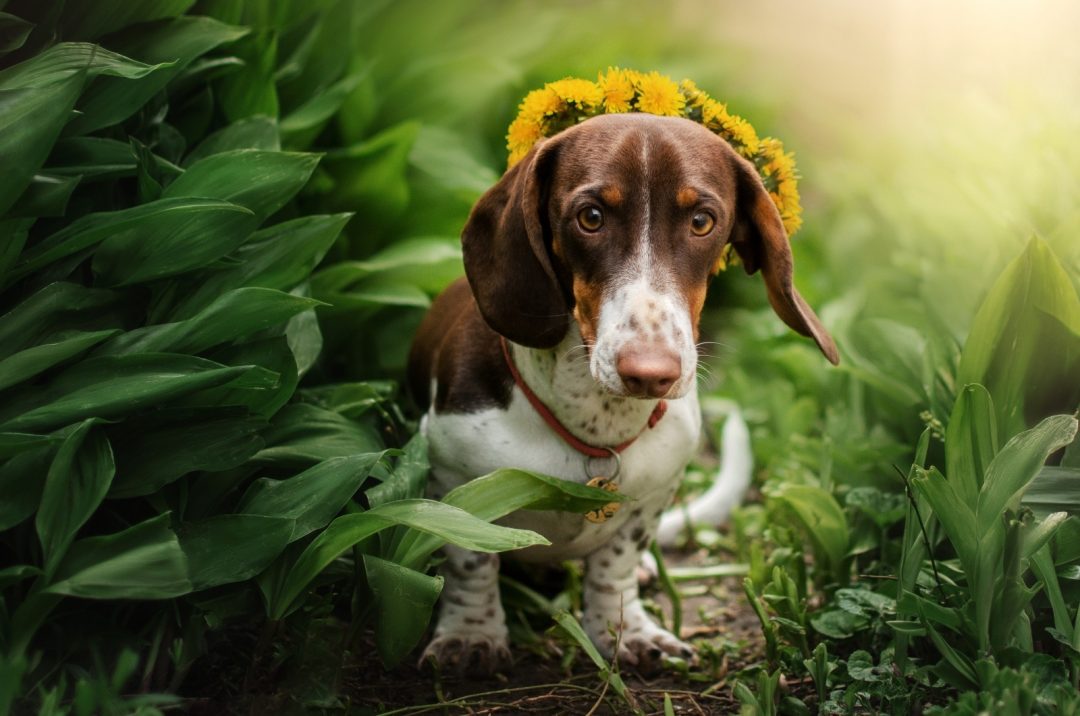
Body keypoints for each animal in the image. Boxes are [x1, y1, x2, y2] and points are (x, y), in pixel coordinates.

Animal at [408, 110, 838, 673]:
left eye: (703, 221)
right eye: (590, 217)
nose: (651, 373)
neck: (596, 423)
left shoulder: (652, 498)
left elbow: (614, 565)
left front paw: (624, 631)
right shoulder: (453, 477)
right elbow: (469, 557)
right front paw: (470, 635)